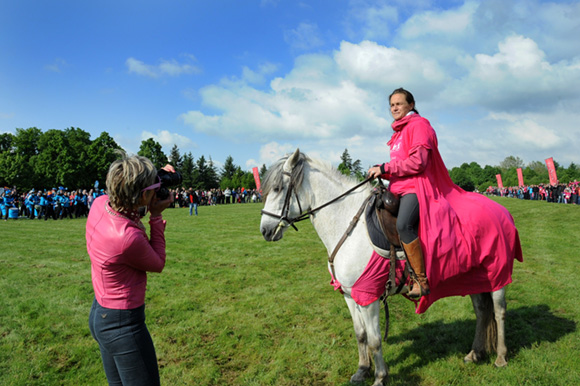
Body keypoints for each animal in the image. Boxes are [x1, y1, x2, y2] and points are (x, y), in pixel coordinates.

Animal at [260, 149, 510, 386]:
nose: (265, 230)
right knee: (481, 310)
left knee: (498, 313)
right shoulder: (350, 295)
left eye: (278, 188)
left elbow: (375, 340)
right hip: (474, 279)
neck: (348, 224)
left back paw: (500, 358)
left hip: (497, 276)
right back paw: (475, 353)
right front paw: (362, 370)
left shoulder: (368, 296)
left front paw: (380, 376)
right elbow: (361, 335)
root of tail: (501, 210)